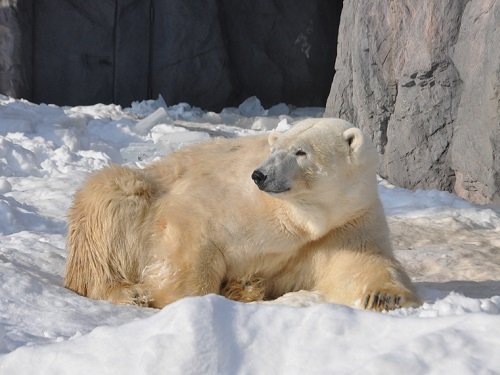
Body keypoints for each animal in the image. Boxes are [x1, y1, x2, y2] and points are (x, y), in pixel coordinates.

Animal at [64, 117, 420, 312]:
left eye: (300, 151)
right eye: (275, 148)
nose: (261, 175)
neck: (302, 216)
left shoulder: (349, 220)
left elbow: (362, 261)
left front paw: (384, 298)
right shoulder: (235, 199)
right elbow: (188, 226)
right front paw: (181, 298)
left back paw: (246, 288)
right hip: (131, 193)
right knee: (111, 197)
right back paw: (128, 291)